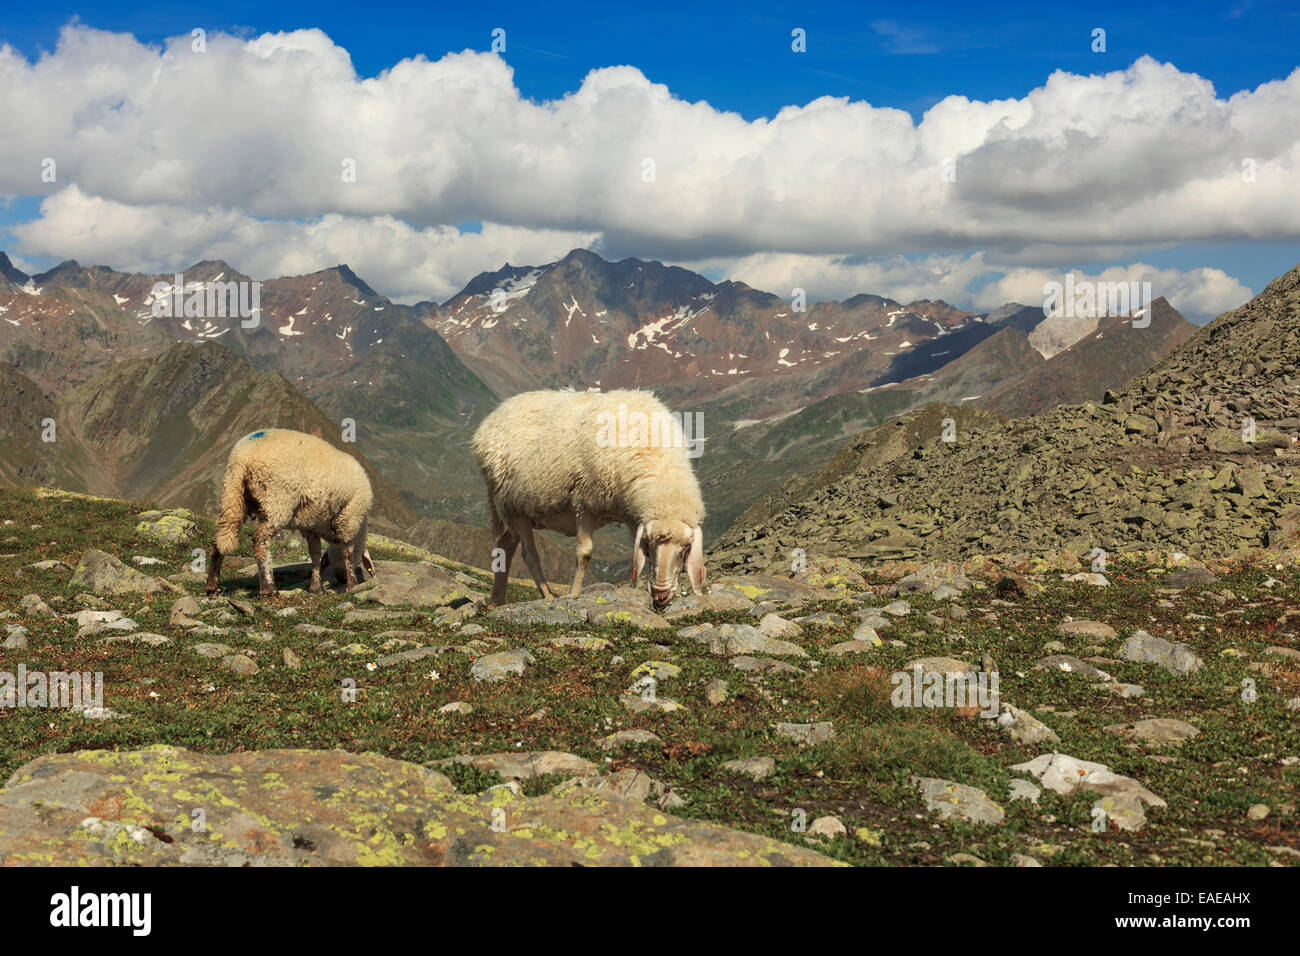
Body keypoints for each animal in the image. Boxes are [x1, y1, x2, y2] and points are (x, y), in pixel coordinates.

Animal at [204, 429, 377, 595]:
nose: (341, 579)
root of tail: (242, 457)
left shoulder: (311, 526)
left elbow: (315, 553)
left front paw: (316, 587)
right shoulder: (349, 518)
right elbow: (348, 552)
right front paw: (352, 585)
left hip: (233, 494)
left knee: (221, 536)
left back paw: (212, 585)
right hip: (277, 500)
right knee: (260, 541)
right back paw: (269, 589)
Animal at [473, 390, 707, 608]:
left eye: (687, 547)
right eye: (649, 542)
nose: (661, 595)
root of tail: (491, 418)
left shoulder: (632, 516)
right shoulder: (584, 502)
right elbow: (584, 553)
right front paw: (574, 595)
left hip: (515, 511)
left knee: (505, 545)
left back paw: (496, 601)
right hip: (513, 505)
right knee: (529, 555)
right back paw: (547, 596)